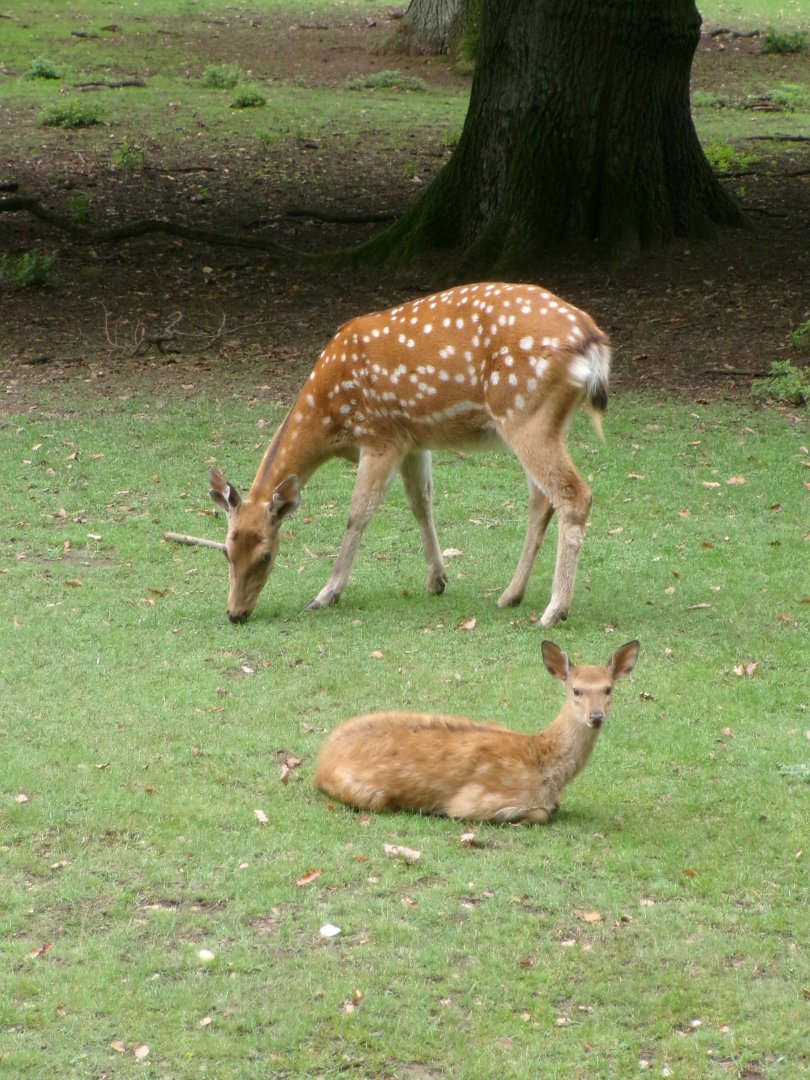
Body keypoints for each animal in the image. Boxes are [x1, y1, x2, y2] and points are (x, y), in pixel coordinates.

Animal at [208, 282, 611, 625]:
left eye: (265, 555)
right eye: (226, 550)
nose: (235, 613)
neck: (330, 417)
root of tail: (594, 342)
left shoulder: (380, 435)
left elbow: (358, 514)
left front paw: (326, 594)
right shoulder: (412, 439)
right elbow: (421, 502)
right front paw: (437, 579)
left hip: (524, 412)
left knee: (574, 495)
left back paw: (554, 610)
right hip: (541, 422)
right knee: (541, 500)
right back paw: (510, 595)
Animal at [314, 639, 640, 824]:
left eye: (608, 689)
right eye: (576, 690)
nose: (596, 717)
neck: (545, 768)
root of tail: (321, 759)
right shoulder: (473, 800)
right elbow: (541, 814)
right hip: (371, 796)